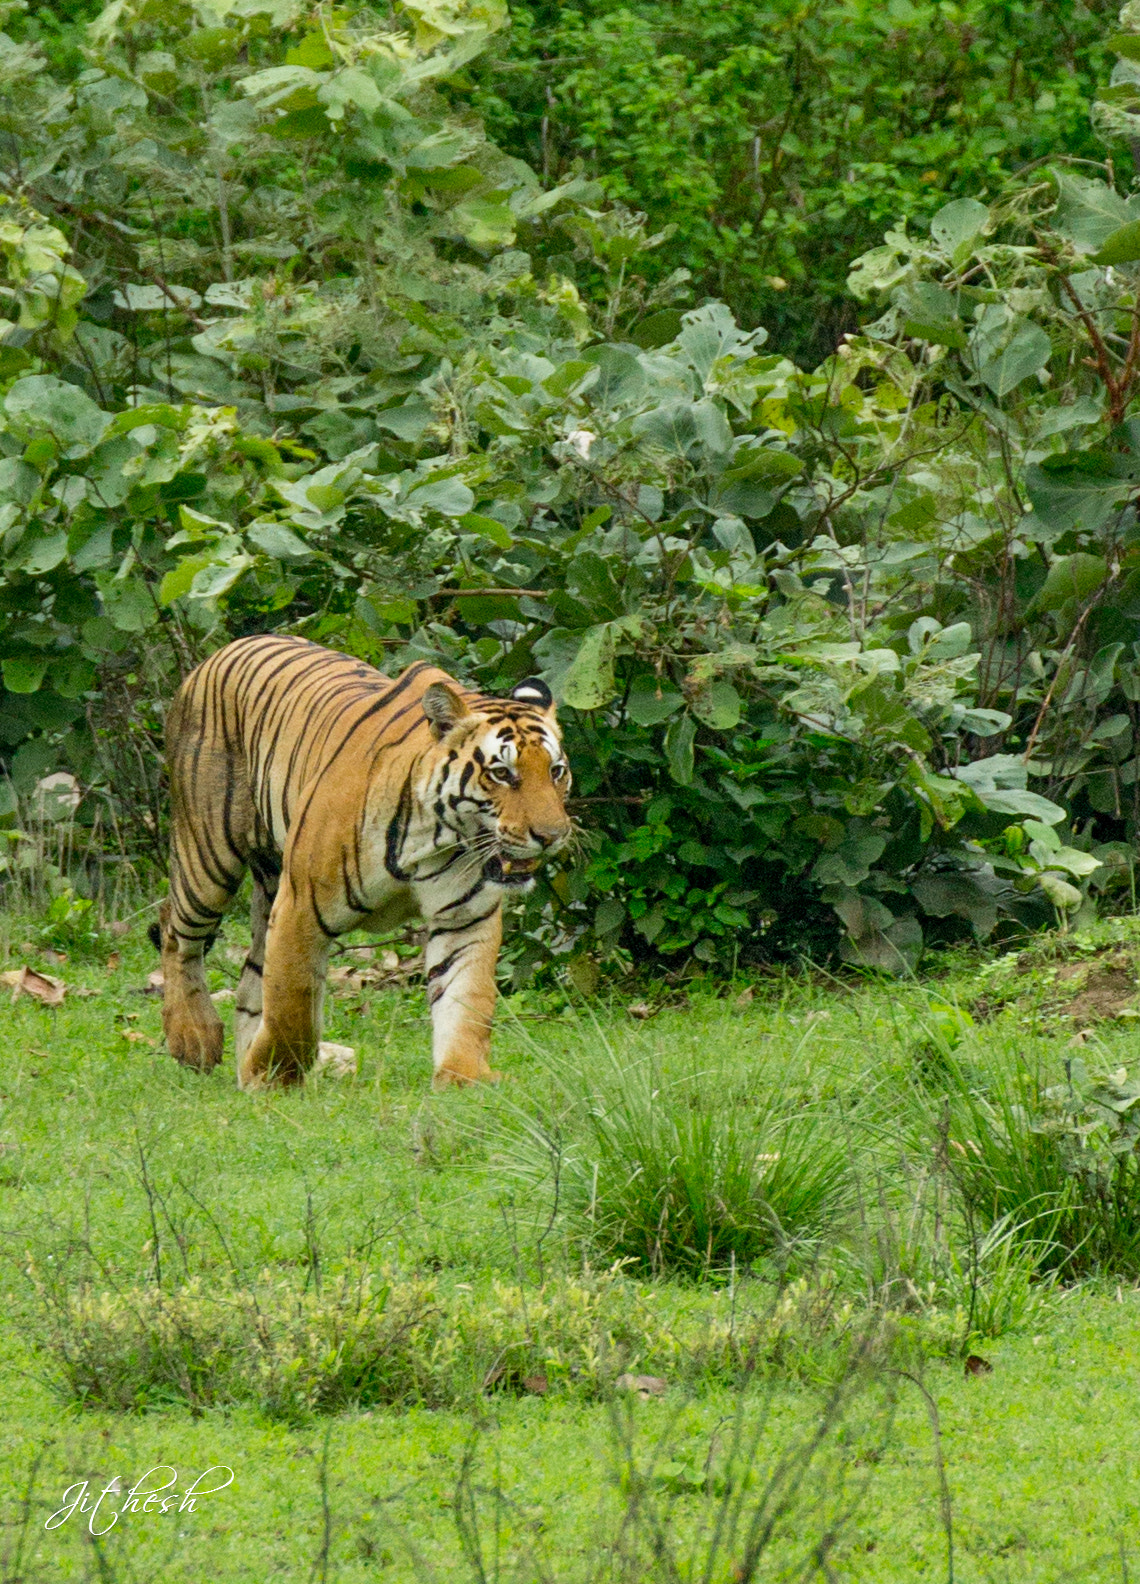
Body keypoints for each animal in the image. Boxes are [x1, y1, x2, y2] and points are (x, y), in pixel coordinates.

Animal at [154, 634, 572, 1091]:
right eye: (501, 774)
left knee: (250, 979)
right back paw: (193, 1037)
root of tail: (221, 652)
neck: (436, 838)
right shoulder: (300, 908)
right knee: (175, 930)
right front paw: (274, 1076)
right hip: (208, 855)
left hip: (267, 885)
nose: (552, 835)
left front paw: (464, 1076)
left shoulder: (465, 917)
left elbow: (467, 999)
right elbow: (292, 1005)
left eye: (556, 771)